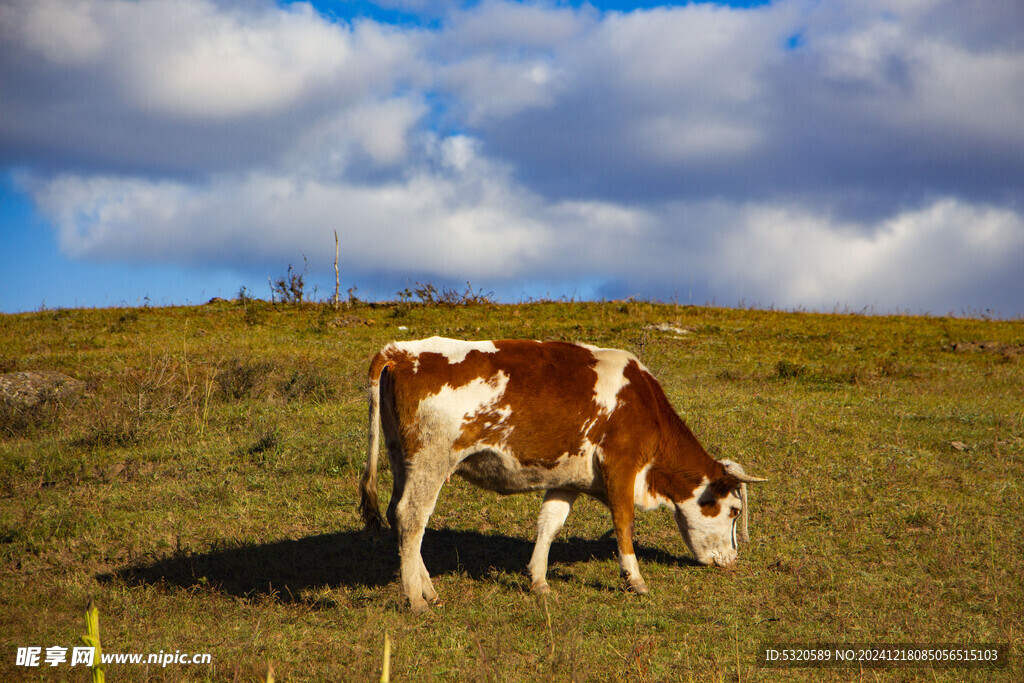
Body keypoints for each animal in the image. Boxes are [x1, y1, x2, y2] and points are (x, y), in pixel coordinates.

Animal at [360, 339, 770, 610]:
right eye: (734, 511)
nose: (732, 560)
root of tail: (401, 351)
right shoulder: (621, 465)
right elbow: (623, 522)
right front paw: (634, 579)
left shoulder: (567, 479)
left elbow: (550, 525)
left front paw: (539, 580)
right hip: (431, 460)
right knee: (412, 517)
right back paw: (415, 600)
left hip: (402, 458)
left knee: (399, 515)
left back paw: (427, 589)